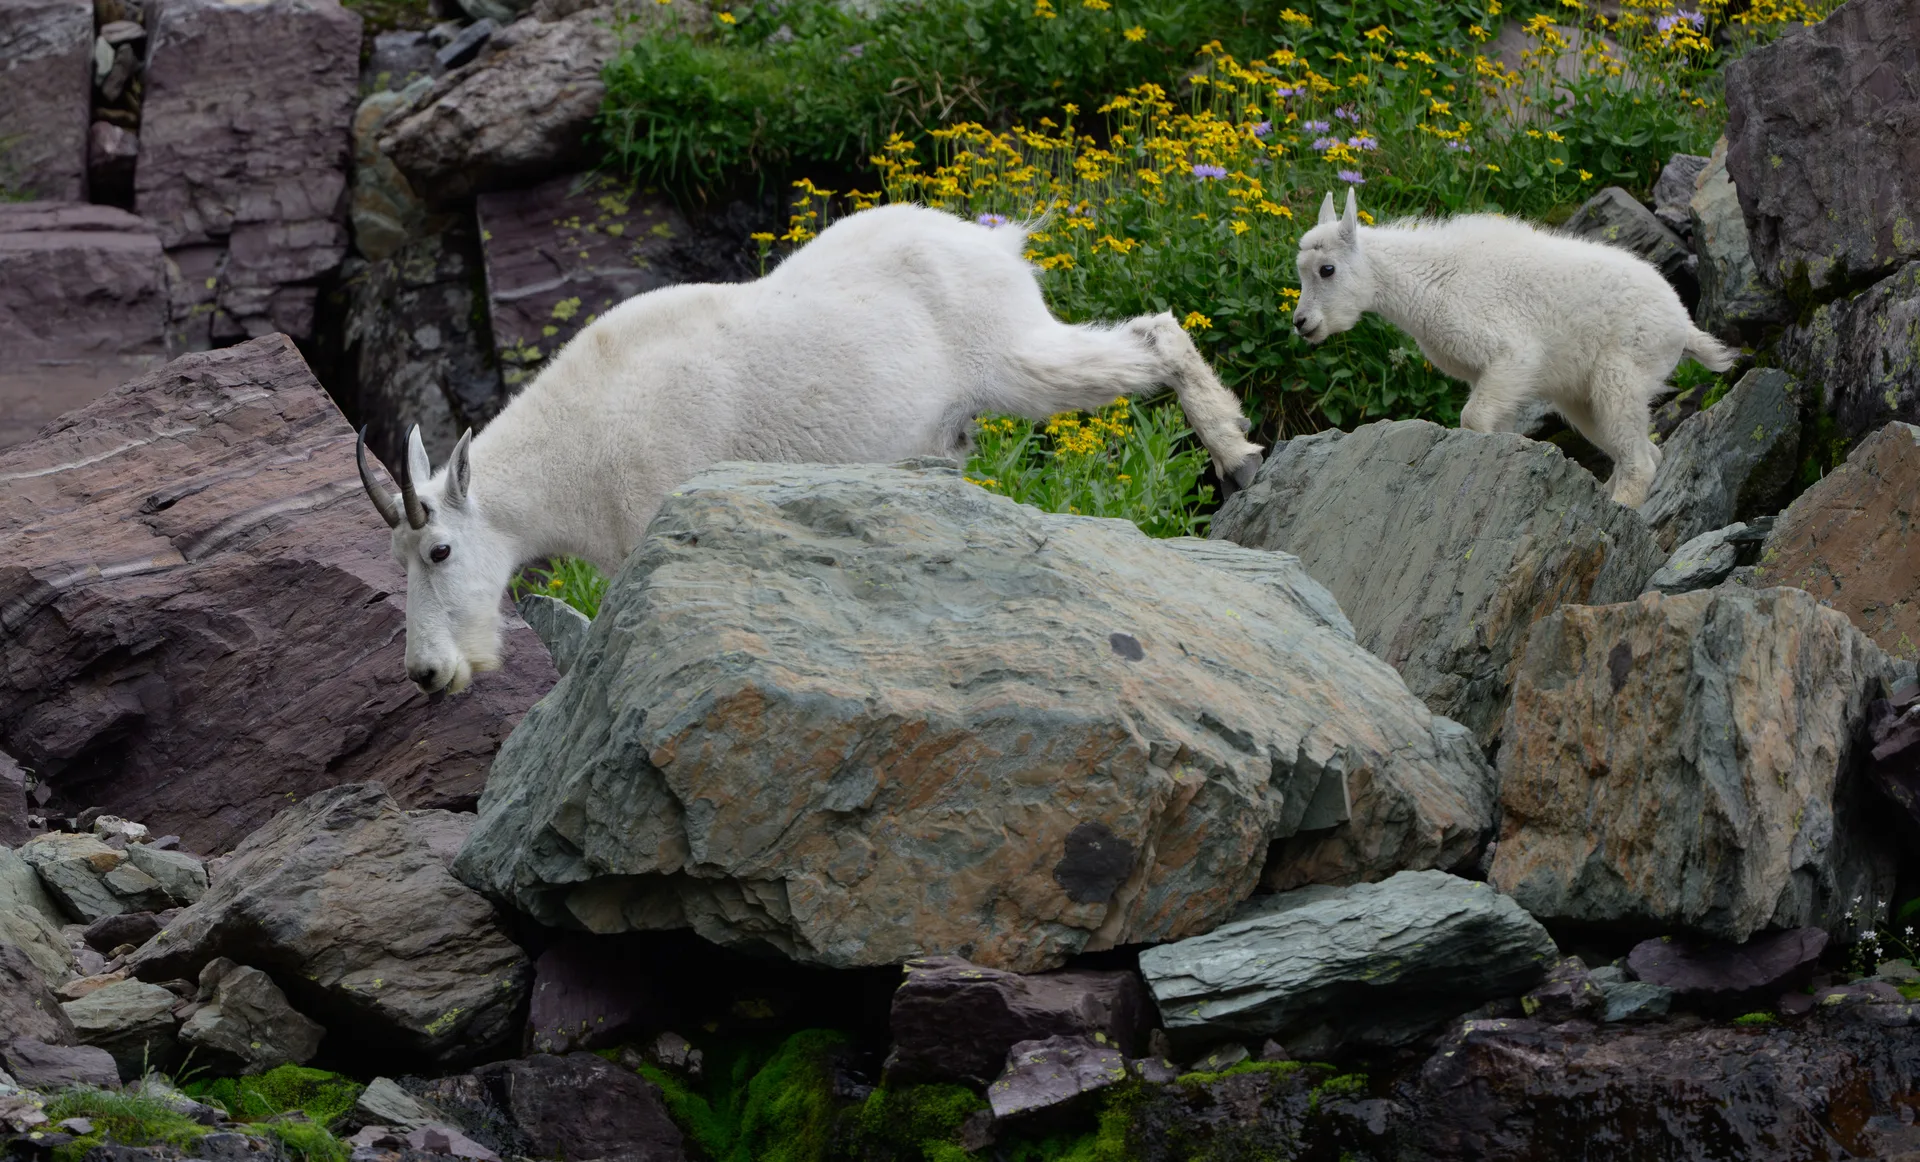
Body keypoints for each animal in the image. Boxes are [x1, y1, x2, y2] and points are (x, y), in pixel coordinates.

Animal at [358, 202, 1265, 694]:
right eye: (398, 554)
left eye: (438, 550)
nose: (427, 674)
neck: (575, 458)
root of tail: (994, 240)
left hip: (1016, 358)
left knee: (1153, 333)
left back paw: (1241, 454)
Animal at [1291, 189, 1735, 507]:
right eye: (1300, 270)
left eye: (1326, 269)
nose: (1302, 324)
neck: (1429, 281)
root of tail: (1683, 324)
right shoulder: (1490, 376)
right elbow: (1495, 422)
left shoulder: (1512, 355)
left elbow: (1472, 416)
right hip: (1582, 396)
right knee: (1642, 451)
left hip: (1624, 371)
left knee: (1639, 459)